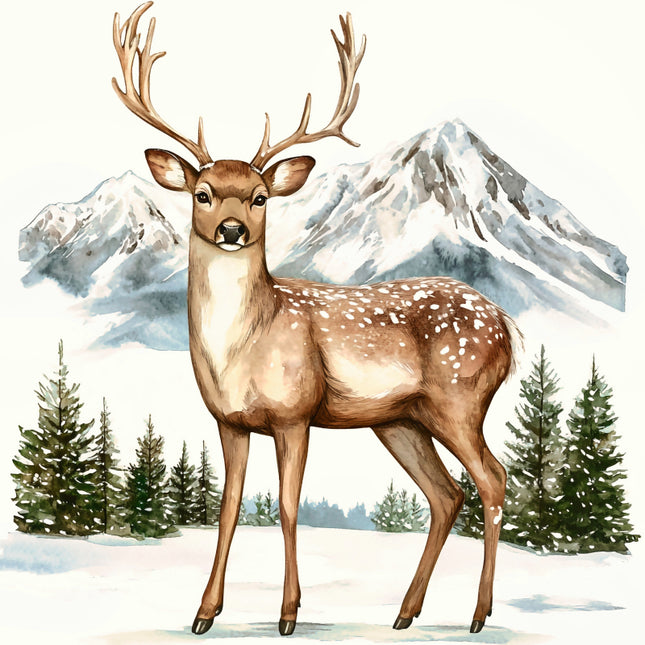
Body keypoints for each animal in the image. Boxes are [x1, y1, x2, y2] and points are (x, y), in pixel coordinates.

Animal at [112, 2, 522, 637]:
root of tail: (506, 325)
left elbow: (287, 506)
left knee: (494, 480)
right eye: (203, 193)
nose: (232, 230)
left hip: (460, 397)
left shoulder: (295, 412)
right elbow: (228, 508)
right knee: (447, 493)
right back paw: (406, 613)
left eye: (259, 196)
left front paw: (287, 613)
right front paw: (204, 613)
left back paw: (478, 615)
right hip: (401, 419)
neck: (242, 348)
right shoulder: (229, 421)